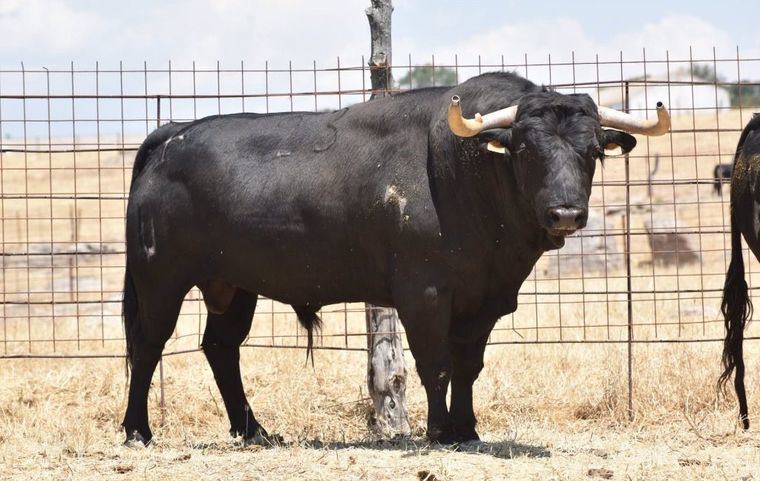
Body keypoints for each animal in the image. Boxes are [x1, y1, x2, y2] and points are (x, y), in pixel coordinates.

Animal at [120, 71, 672, 442]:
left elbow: (468, 365)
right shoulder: (422, 292)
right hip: (160, 277)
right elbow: (435, 364)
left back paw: (253, 430)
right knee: (148, 345)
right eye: (525, 150)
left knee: (221, 347)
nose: (565, 213)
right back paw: (138, 430)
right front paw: (440, 430)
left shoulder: (484, 299)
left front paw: (467, 429)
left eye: (592, 152)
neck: (466, 173)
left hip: (232, 285)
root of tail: (171, 134)